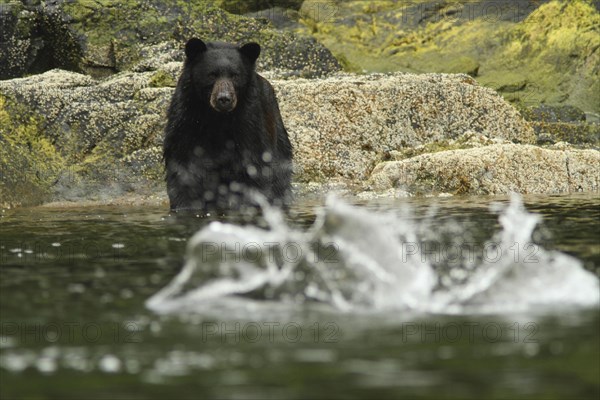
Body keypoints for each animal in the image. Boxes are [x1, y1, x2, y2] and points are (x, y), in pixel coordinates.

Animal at [164, 38, 292, 212]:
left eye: (235, 75)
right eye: (212, 75)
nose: (224, 99)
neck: (217, 117)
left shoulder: (249, 121)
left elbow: (251, 167)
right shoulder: (186, 117)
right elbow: (184, 165)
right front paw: (185, 205)